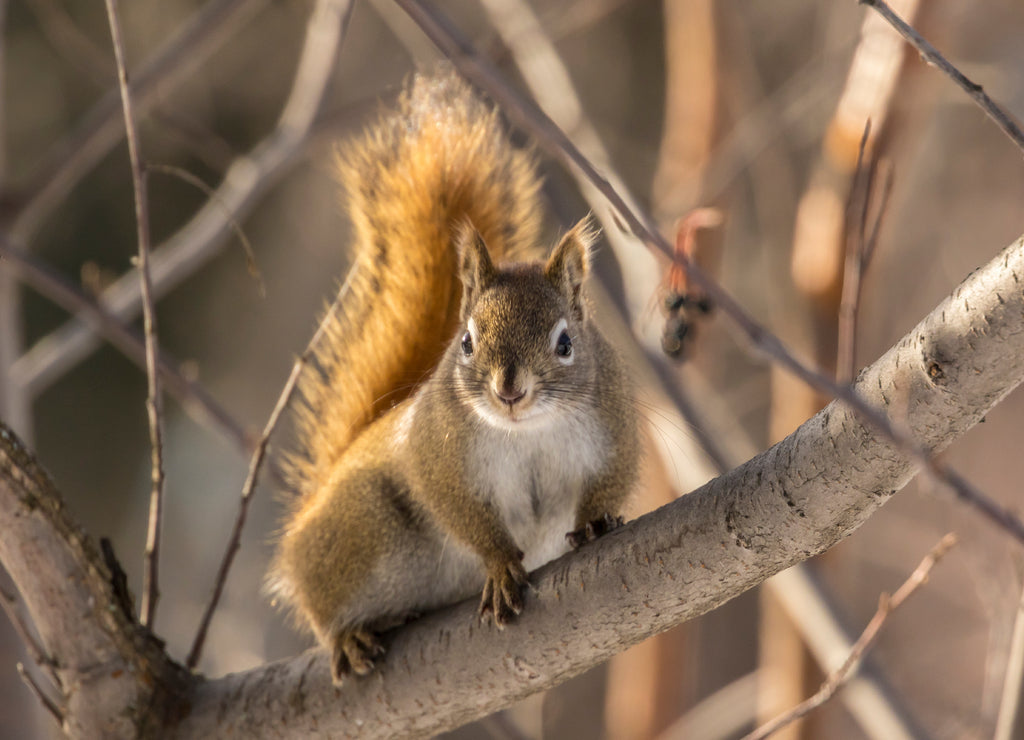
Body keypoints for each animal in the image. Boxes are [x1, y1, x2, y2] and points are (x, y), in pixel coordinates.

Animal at [266, 71, 640, 685]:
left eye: (565, 343)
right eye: (466, 342)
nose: (509, 391)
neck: (526, 432)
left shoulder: (616, 427)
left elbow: (611, 480)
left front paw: (593, 523)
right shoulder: (438, 457)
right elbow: (462, 513)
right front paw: (501, 566)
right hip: (360, 531)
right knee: (321, 604)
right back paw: (347, 636)